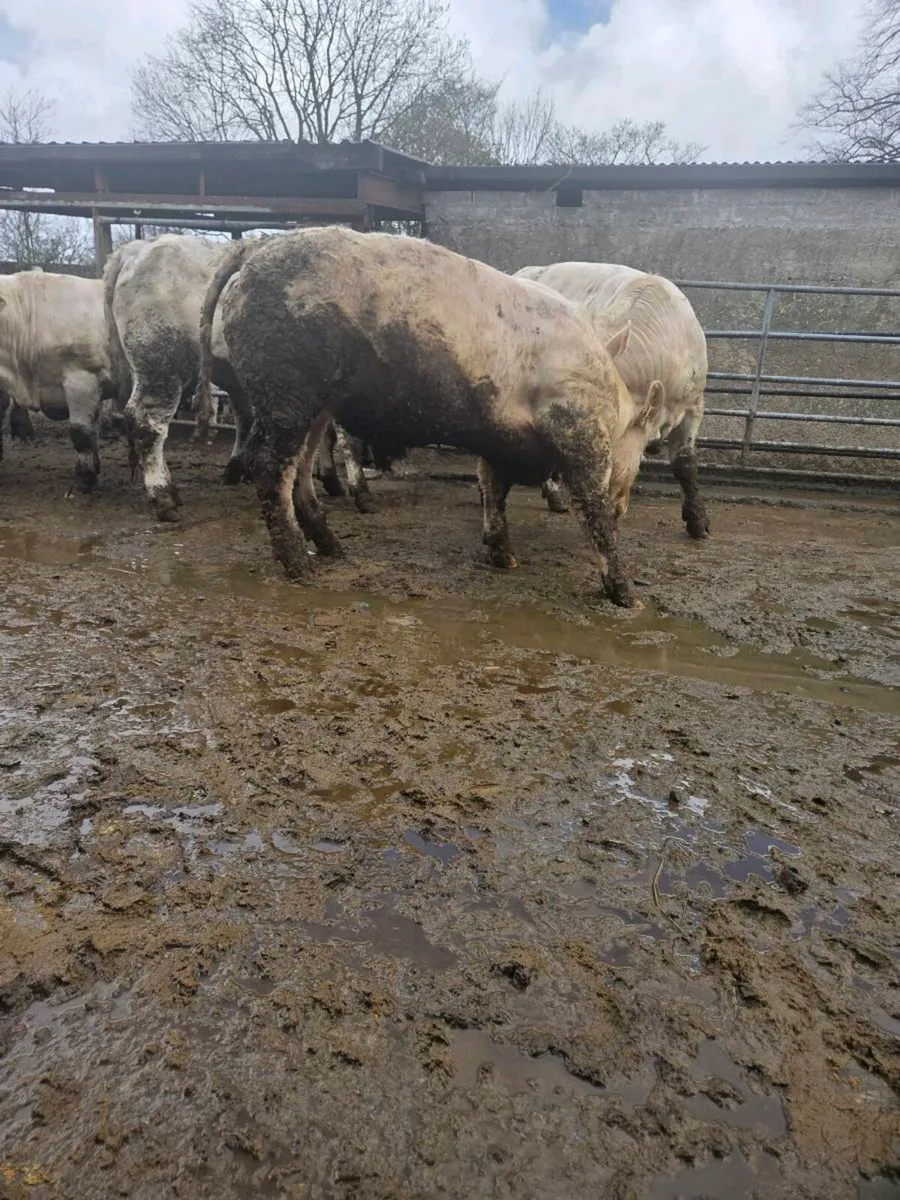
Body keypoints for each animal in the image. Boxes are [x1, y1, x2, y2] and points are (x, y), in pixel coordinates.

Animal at [197, 226, 666, 608]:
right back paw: (299, 563)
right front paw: (626, 594)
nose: (626, 504)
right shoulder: (580, 430)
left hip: (314, 404)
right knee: (269, 465)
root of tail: (258, 248)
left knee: (301, 467)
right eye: (642, 450)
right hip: (284, 391)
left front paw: (504, 556)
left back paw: (331, 546)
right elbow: (592, 510)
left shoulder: (498, 440)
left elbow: (492, 490)